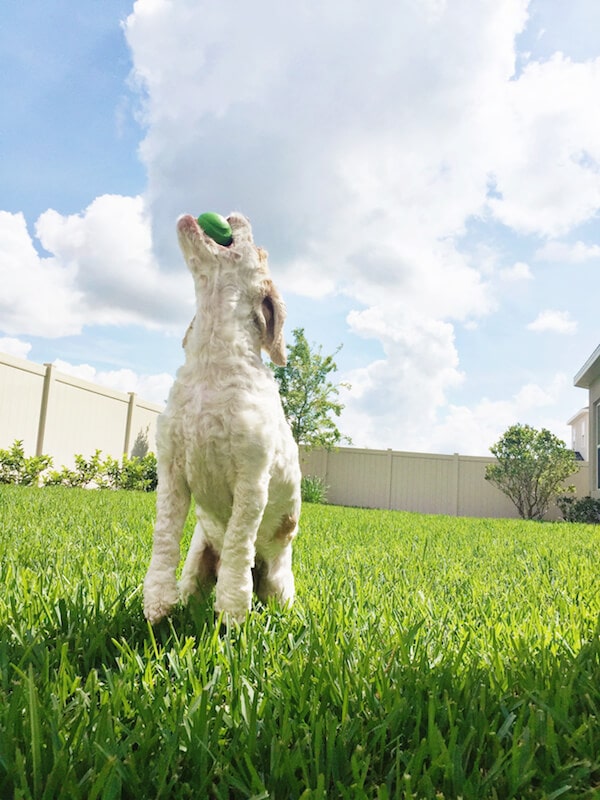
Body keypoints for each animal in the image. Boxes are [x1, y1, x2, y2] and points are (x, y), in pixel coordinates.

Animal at [144, 212, 302, 624]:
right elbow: (164, 535)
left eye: (259, 248)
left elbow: (237, 542)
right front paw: (156, 603)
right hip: (196, 559)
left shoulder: (252, 479)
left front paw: (231, 611)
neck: (211, 363)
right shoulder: (170, 472)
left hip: (280, 583)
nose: (234, 215)